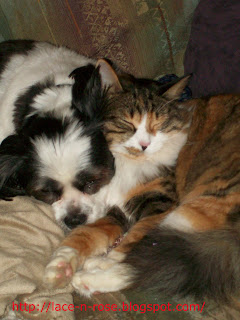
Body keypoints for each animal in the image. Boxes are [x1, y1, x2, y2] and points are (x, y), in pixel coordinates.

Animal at [43, 63, 240, 304]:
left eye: (158, 125)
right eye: (128, 123)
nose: (144, 145)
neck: (126, 163)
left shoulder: (160, 205)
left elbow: (132, 239)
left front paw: (101, 261)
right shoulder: (116, 210)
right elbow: (87, 233)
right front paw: (60, 266)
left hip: (195, 210)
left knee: (147, 266)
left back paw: (90, 276)